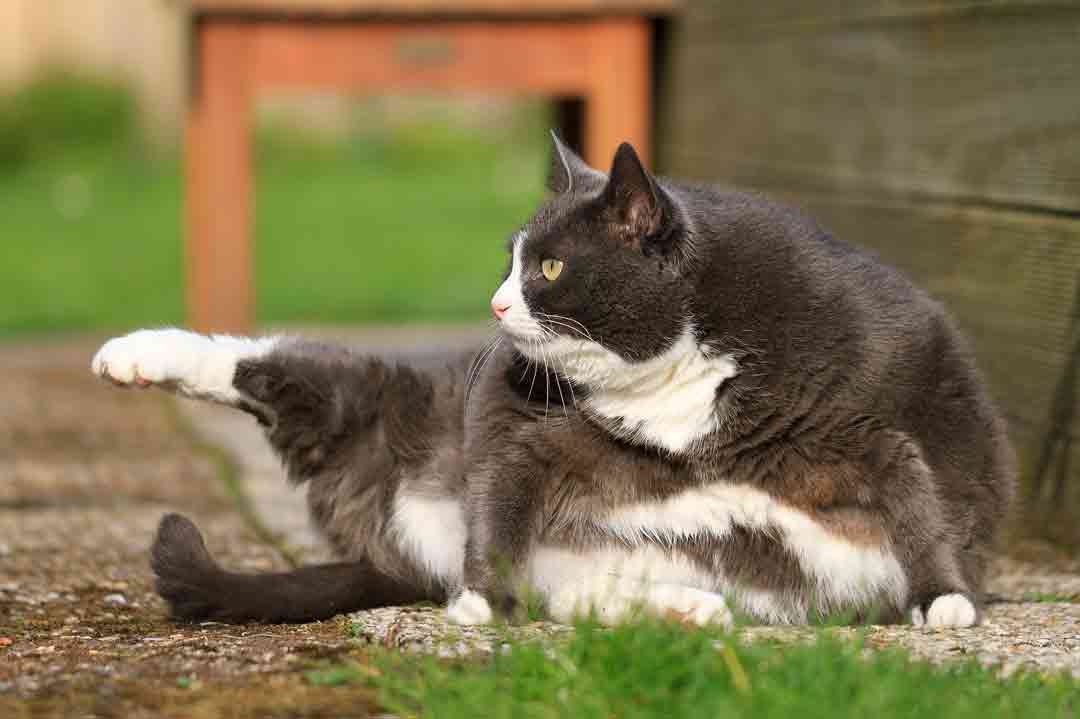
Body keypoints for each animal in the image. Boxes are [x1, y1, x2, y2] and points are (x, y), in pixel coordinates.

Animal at [90, 134, 1010, 626]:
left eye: (552, 266)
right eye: (509, 259)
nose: (495, 304)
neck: (678, 378)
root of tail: (395, 537)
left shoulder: (868, 422)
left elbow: (916, 489)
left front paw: (944, 600)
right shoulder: (526, 427)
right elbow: (501, 495)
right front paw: (478, 602)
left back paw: (690, 610)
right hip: (374, 404)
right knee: (272, 366)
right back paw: (130, 354)